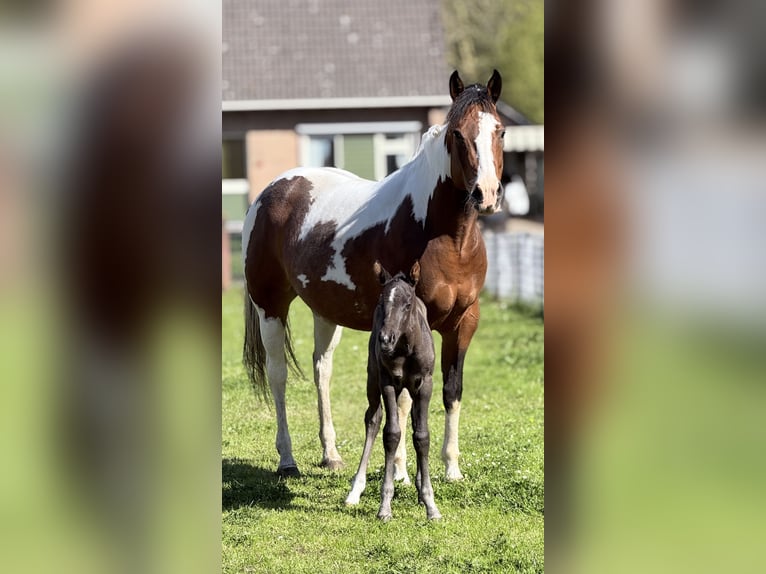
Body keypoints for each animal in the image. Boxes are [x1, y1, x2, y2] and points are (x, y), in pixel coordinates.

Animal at [242, 70, 505, 479]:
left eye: (500, 131)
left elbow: (452, 391)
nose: (487, 194)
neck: (443, 236)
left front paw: (451, 469)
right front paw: (400, 473)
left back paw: (331, 454)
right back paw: (287, 460)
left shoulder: (464, 322)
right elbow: (403, 398)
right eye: (458, 134)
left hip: (325, 312)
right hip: (269, 306)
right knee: (278, 374)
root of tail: (272, 190)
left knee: (322, 370)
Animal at [345, 261, 441, 521]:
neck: (406, 349)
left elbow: (422, 436)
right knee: (373, 419)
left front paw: (430, 504)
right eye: (381, 303)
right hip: (373, 379)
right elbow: (391, 434)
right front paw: (385, 506)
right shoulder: (387, 381)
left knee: (414, 424)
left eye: (407, 304)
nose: (386, 339)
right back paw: (355, 491)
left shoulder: (425, 384)